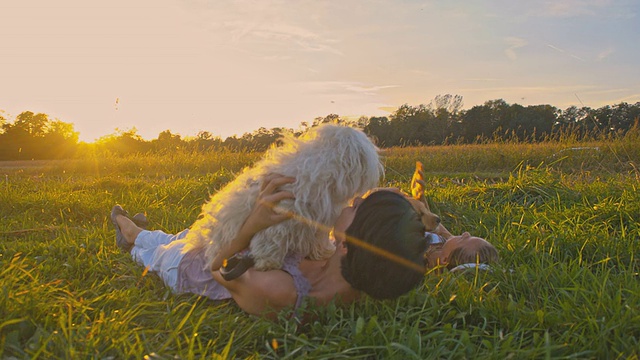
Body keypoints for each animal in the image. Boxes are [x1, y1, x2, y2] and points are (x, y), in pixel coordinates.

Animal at [185, 124, 384, 270]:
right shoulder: (279, 214)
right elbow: (270, 238)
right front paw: (267, 262)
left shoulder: (320, 220)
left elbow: (318, 239)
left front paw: (324, 252)